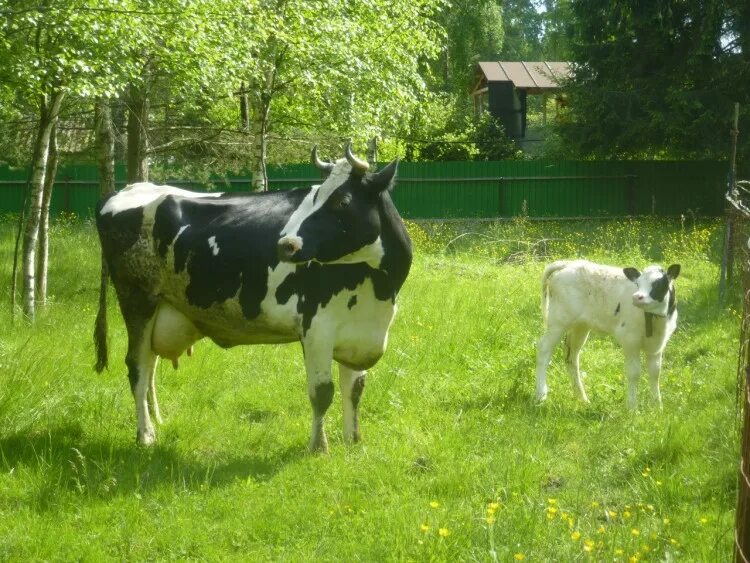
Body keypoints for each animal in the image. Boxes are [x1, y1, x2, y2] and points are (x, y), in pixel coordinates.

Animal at [94, 147, 414, 454]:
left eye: (343, 201)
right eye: (315, 196)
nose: (286, 244)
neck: (378, 290)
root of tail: (127, 190)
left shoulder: (360, 333)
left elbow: (355, 389)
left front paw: (353, 440)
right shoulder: (316, 327)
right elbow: (322, 392)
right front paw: (318, 447)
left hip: (161, 308)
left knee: (150, 365)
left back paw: (156, 420)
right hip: (137, 299)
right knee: (137, 366)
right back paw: (145, 435)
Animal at [536, 260, 680, 410]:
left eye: (658, 283)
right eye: (638, 283)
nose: (636, 297)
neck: (655, 320)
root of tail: (568, 263)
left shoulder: (657, 345)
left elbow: (655, 372)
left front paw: (657, 406)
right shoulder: (630, 340)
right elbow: (634, 373)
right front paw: (632, 408)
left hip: (580, 325)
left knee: (571, 356)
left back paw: (582, 398)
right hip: (559, 321)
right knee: (544, 348)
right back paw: (541, 395)